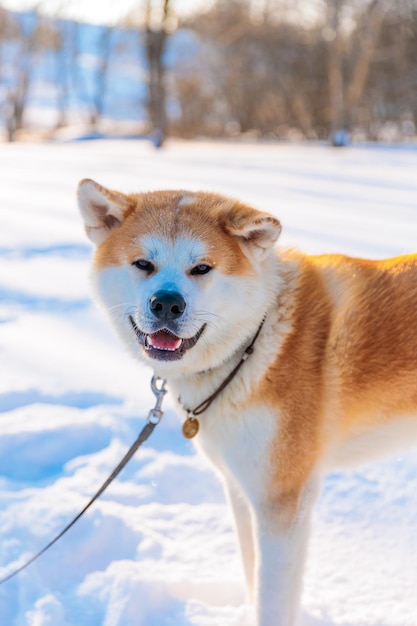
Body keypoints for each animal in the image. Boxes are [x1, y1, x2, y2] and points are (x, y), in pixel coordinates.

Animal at [77, 177, 416, 624]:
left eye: (202, 268)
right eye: (143, 264)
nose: (167, 303)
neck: (256, 343)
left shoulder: (283, 503)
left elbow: (272, 599)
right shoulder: (241, 489)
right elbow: (251, 571)